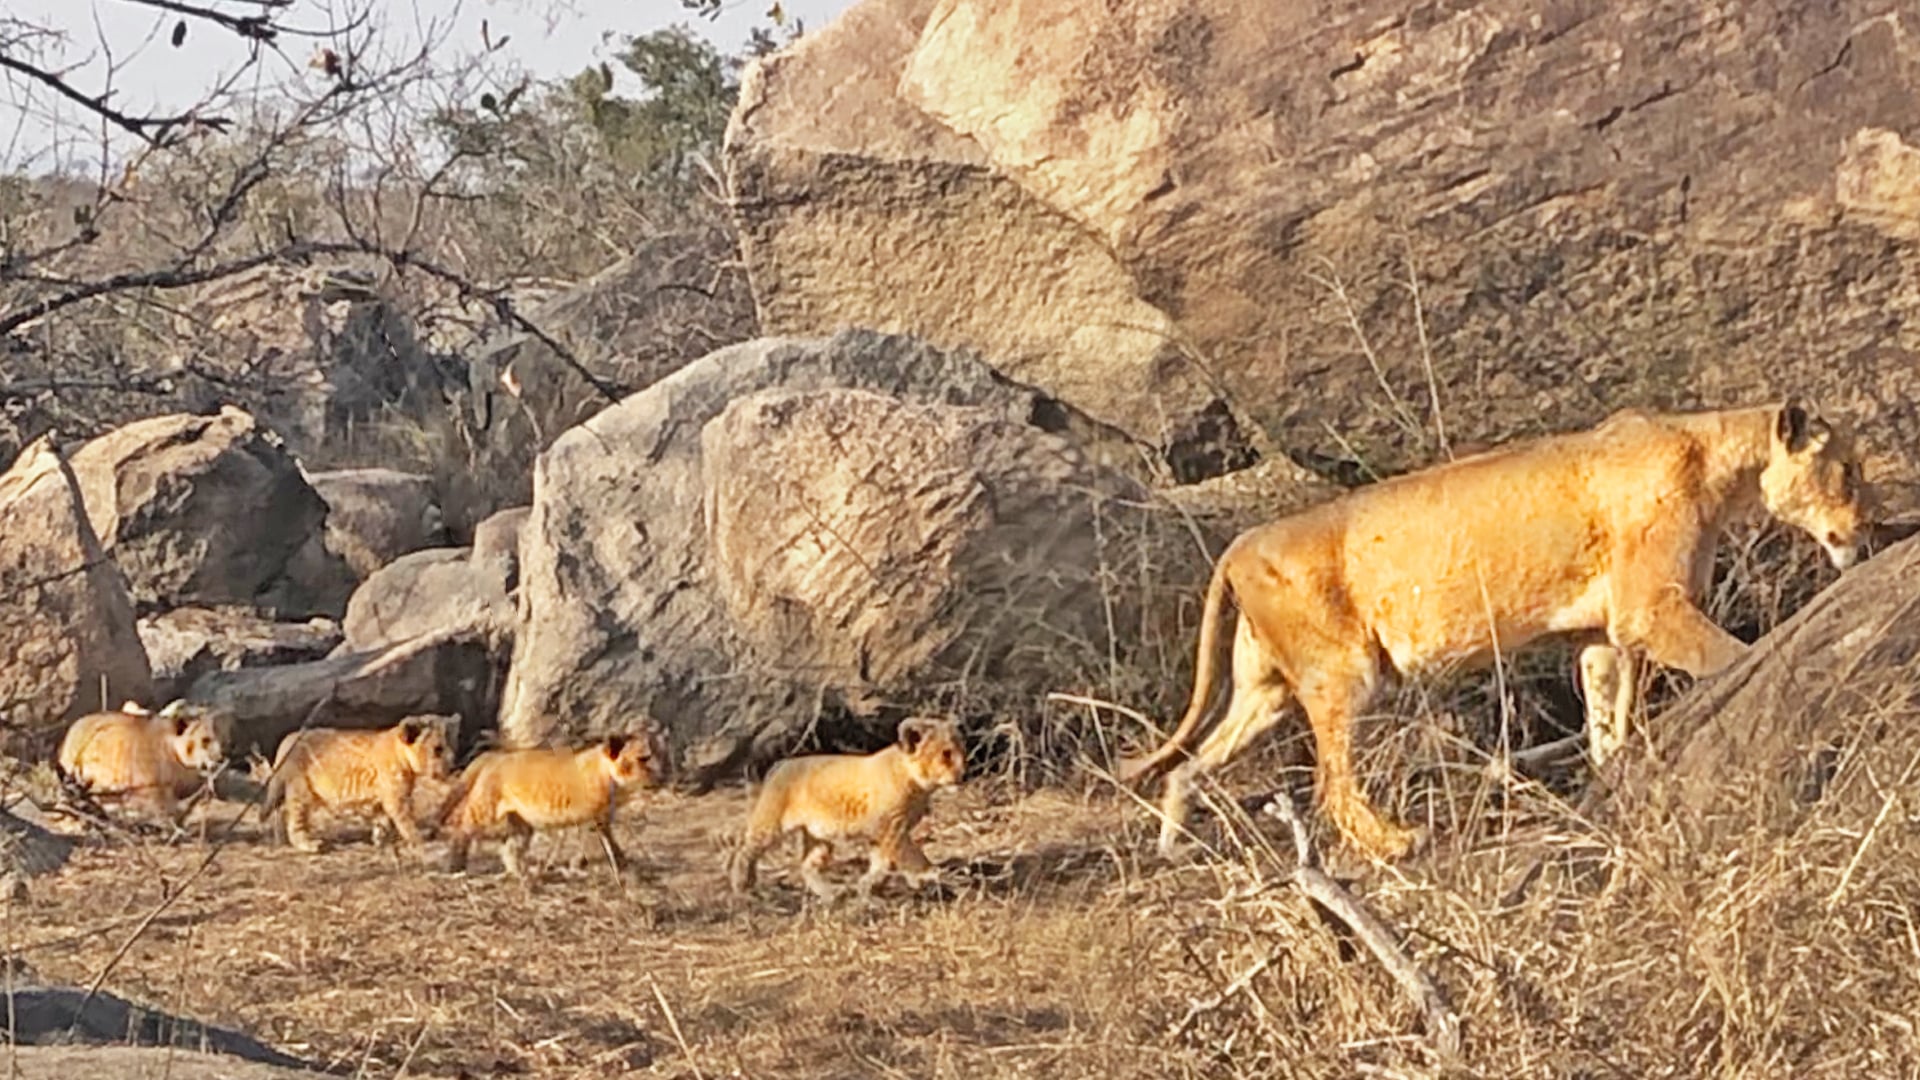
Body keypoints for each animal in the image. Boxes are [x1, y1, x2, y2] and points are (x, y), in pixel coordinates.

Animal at [261, 717, 456, 855]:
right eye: (438, 749)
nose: (453, 763)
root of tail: (287, 739)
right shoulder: (396, 799)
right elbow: (406, 822)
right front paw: (420, 841)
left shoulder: (381, 801)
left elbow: (382, 822)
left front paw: (380, 841)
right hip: (301, 791)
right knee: (294, 821)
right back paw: (310, 845)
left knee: (279, 812)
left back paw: (279, 840)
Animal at [437, 729, 666, 879]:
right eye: (644, 758)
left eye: (661, 755)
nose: (662, 776)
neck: (615, 785)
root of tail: (491, 756)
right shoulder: (590, 821)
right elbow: (598, 846)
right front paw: (608, 868)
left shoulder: (602, 821)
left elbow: (611, 844)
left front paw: (619, 863)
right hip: (486, 811)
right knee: (462, 830)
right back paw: (455, 867)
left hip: (521, 822)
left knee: (510, 847)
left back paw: (522, 874)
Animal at [728, 717, 968, 902]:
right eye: (946, 754)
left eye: (962, 751)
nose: (963, 774)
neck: (919, 786)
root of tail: (780, 765)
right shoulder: (890, 827)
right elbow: (911, 854)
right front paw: (931, 875)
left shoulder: (886, 833)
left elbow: (883, 863)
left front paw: (867, 887)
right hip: (771, 825)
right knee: (745, 850)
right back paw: (742, 887)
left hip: (819, 837)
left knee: (807, 866)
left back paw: (831, 894)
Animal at [1120, 400, 1872, 861]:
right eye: (1848, 470)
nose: (1868, 527)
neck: (1717, 456)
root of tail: (1239, 542)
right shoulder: (1651, 610)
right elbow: (1731, 657)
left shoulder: (1602, 635)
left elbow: (1609, 719)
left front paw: (1612, 784)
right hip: (1343, 673)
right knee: (1330, 787)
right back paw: (1396, 843)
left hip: (1265, 691)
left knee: (1190, 763)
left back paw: (1173, 845)